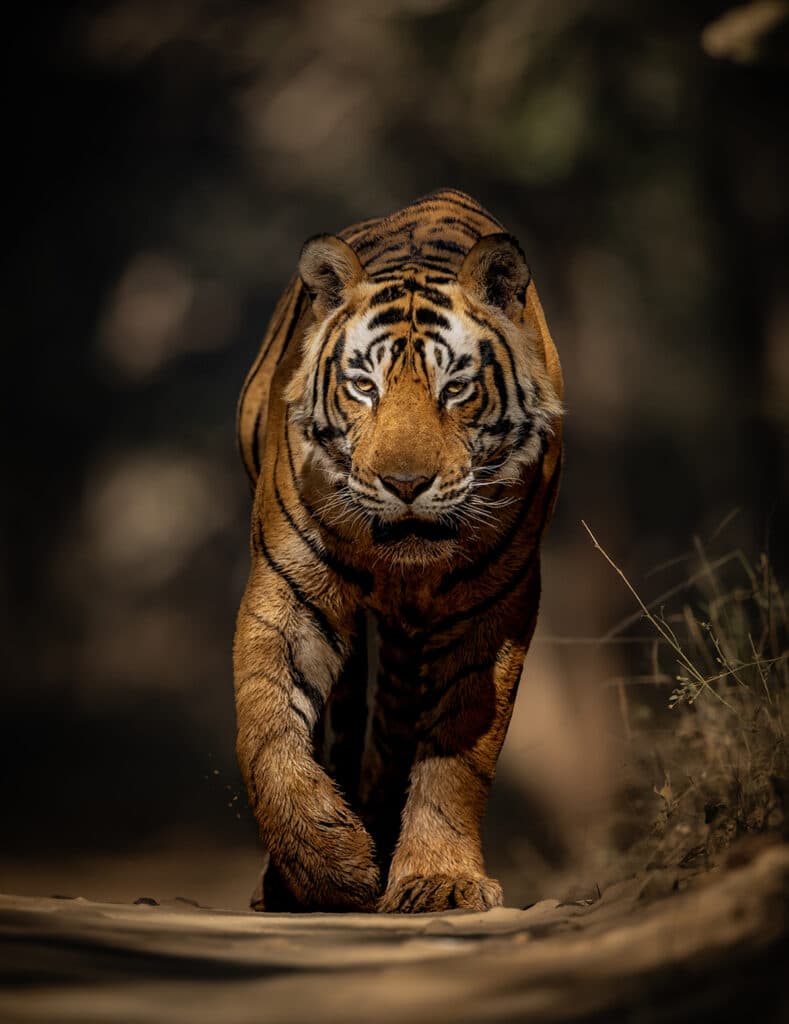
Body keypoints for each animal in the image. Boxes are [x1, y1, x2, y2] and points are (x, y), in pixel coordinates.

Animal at [234, 188, 563, 914]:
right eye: (364, 386)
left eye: (455, 388)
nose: (406, 484)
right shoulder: (287, 589)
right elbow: (266, 729)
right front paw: (327, 864)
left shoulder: (495, 606)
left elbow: (458, 757)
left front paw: (437, 878)